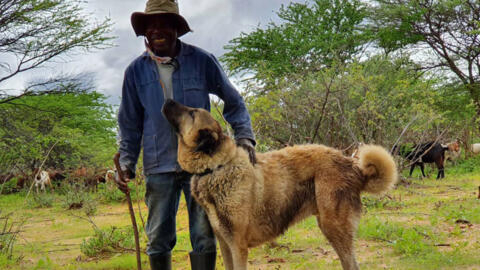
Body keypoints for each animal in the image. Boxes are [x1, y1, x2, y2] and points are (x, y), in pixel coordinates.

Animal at [161, 99, 398, 270]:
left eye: (192, 113)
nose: (168, 99)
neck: (217, 167)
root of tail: (352, 166)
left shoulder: (238, 246)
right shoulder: (225, 244)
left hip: (334, 227)